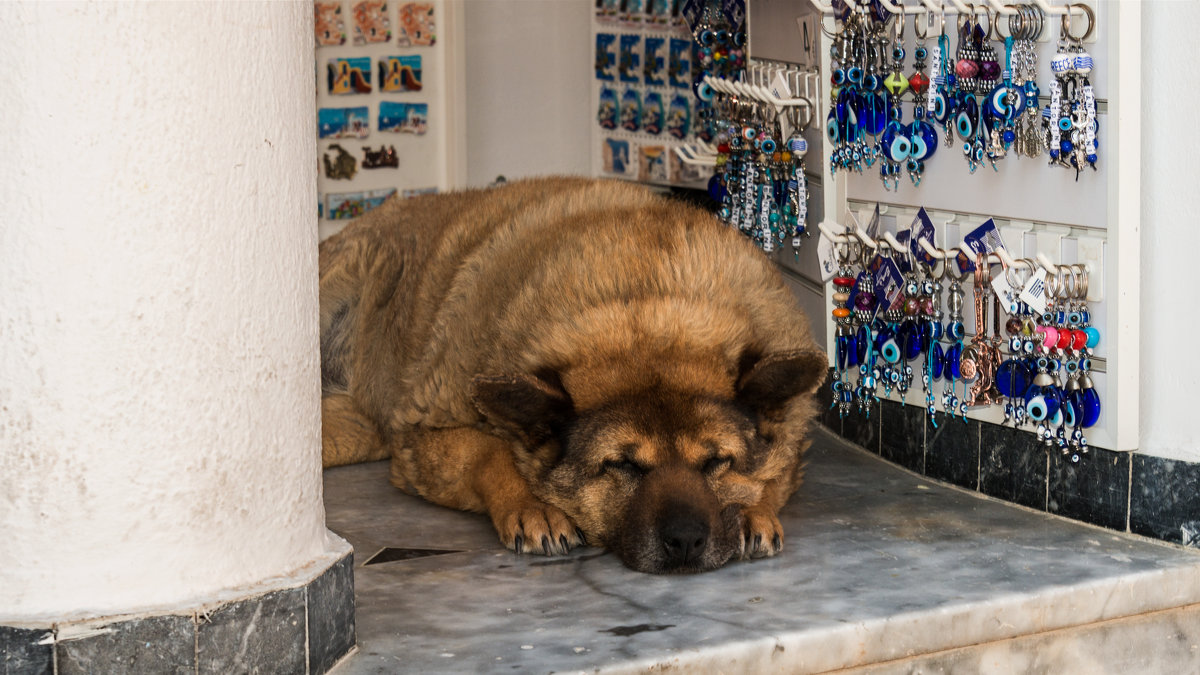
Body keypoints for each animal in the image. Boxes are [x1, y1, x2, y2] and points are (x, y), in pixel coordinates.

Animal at [319, 176, 825, 569]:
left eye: (717, 461)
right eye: (622, 464)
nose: (685, 541)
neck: (644, 295)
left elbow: (773, 472)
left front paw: (753, 511)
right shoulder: (421, 441)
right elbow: (490, 453)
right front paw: (532, 505)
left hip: (357, 432)